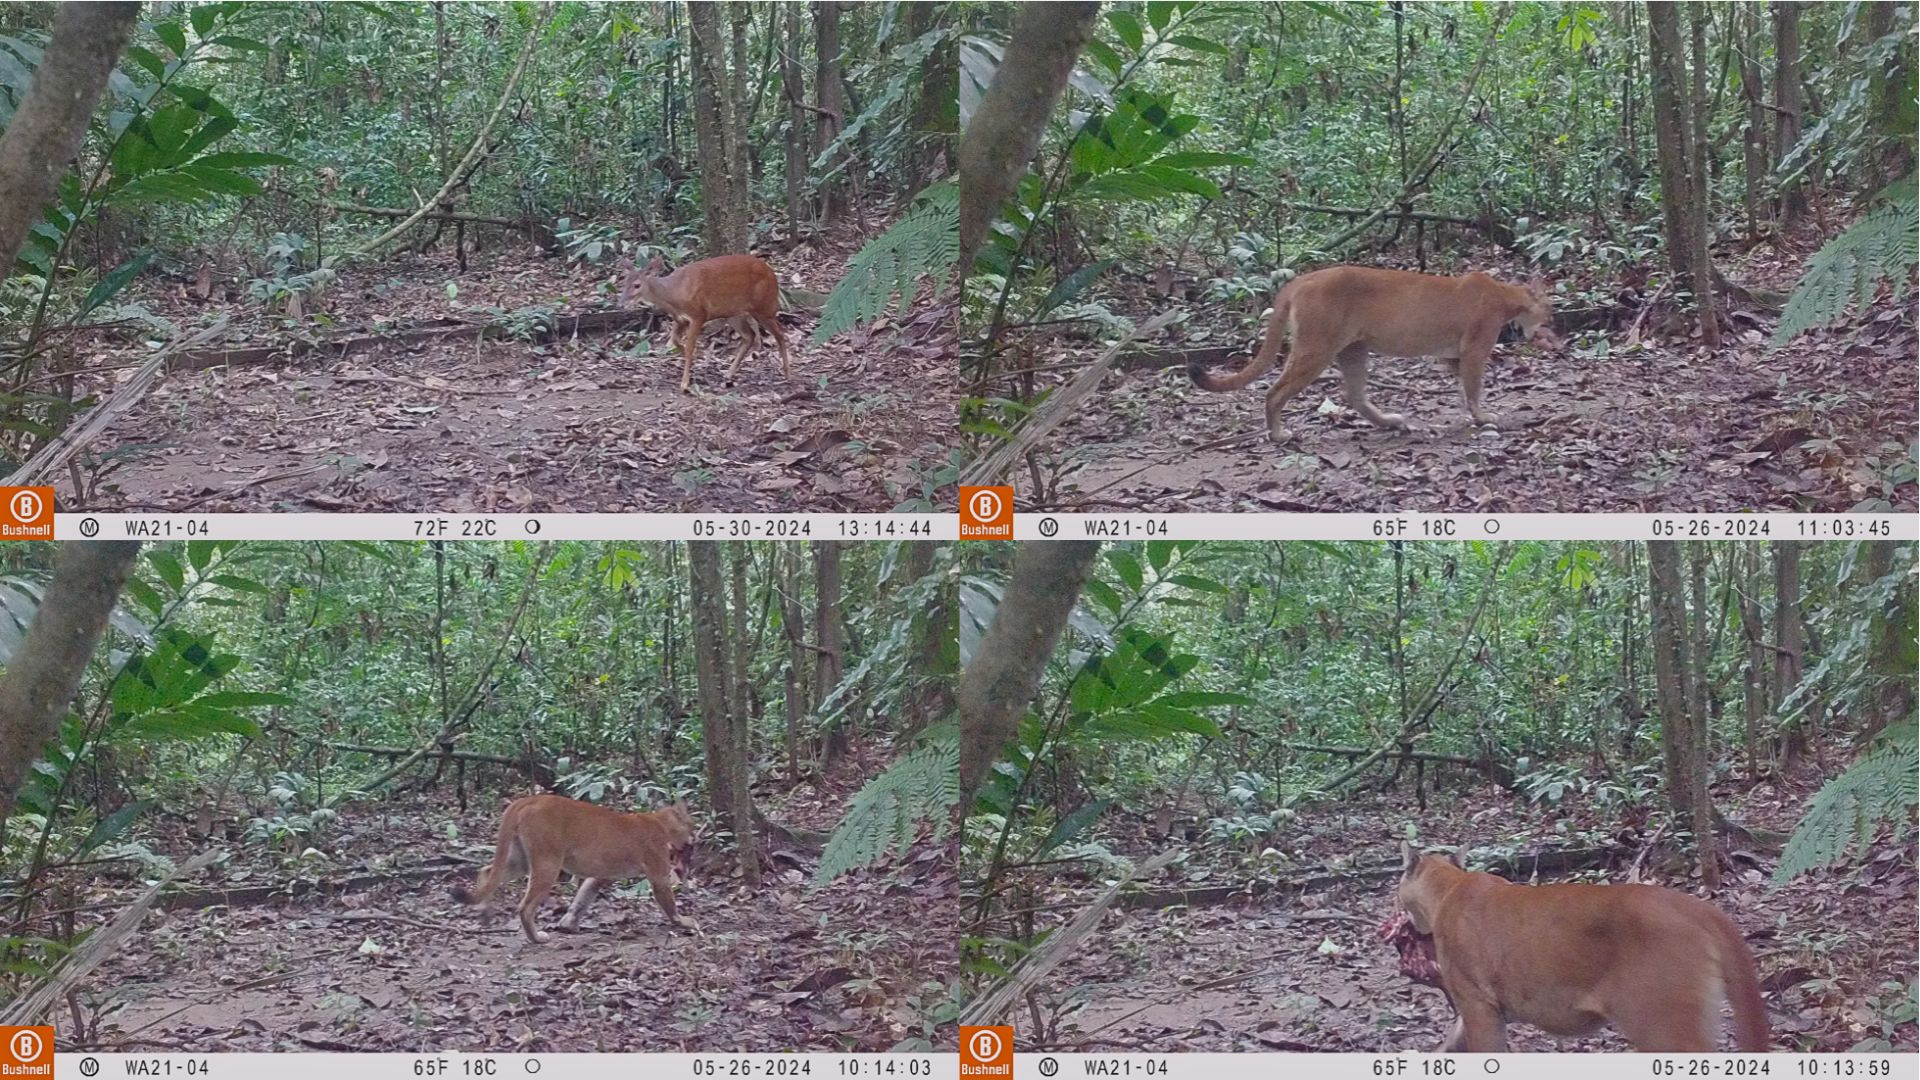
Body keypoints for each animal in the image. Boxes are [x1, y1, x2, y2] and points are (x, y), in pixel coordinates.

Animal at [618, 251, 791, 390]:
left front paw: (685, 382)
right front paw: (695, 360)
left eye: (637, 285)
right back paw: (728, 374)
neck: (674, 293)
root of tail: (772, 273)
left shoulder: (698, 314)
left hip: (764, 306)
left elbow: (689, 347)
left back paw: (786, 372)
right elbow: (675, 341)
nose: (621, 303)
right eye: (623, 283)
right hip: (734, 313)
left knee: (780, 333)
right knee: (749, 336)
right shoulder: (680, 319)